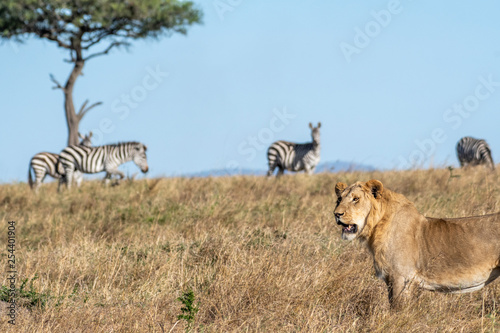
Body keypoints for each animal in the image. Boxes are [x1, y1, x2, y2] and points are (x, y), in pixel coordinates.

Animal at [332, 180, 500, 308]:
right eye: (339, 200)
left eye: (355, 199)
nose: (336, 214)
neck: (375, 228)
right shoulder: (391, 279)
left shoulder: (401, 277)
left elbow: (397, 309)